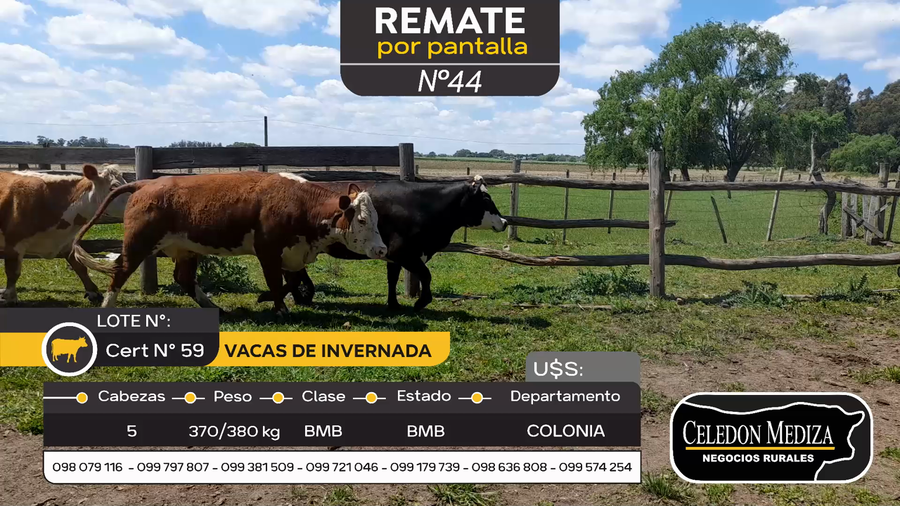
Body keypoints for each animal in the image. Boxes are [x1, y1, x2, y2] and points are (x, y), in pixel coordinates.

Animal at [0, 165, 129, 306]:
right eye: (113, 187)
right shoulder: (14, 244)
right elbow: (13, 273)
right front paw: (10, 297)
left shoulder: (67, 243)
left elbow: (80, 267)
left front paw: (93, 292)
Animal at [72, 172, 388, 315]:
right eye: (362, 220)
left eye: (376, 219)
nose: (381, 249)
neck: (299, 203)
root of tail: (145, 183)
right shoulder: (268, 251)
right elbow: (276, 282)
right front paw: (279, 308)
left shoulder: (293, 252)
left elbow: (296, 282)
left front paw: (269, 299)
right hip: (139, 243)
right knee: (121, 272)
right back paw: (107, 305)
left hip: (186, 249)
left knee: (184, 278)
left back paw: (213, 307)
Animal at [258, 176, 507, 311]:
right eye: (486, 198)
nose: (504, 222)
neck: (422, 205)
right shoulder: (404, 253)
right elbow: (425, 275)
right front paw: (420, 303)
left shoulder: (393, 255)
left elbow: (393, 279)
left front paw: (394, 304)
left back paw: (302, 296)